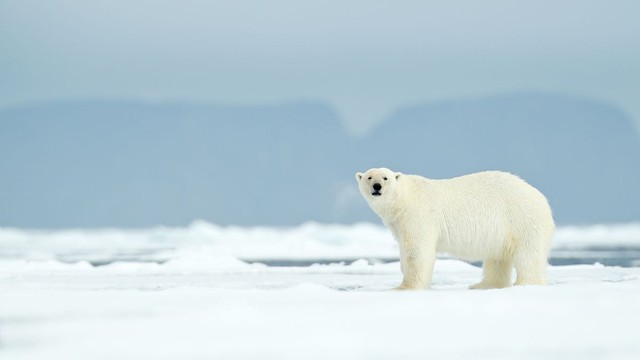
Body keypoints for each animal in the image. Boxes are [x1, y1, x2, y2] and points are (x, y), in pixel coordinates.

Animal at [356, 168, 556, 290]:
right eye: (369, 177)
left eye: (385, 177)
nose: (377, 186)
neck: (405, 198)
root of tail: (542, 198)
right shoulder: (398, 223)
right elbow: (405, 250)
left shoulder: (418, 216)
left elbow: (417, 252)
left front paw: (404, 287)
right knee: (498, 258)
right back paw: (483, 285)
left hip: (522, 220)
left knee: (528, 256)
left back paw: (526, 284)